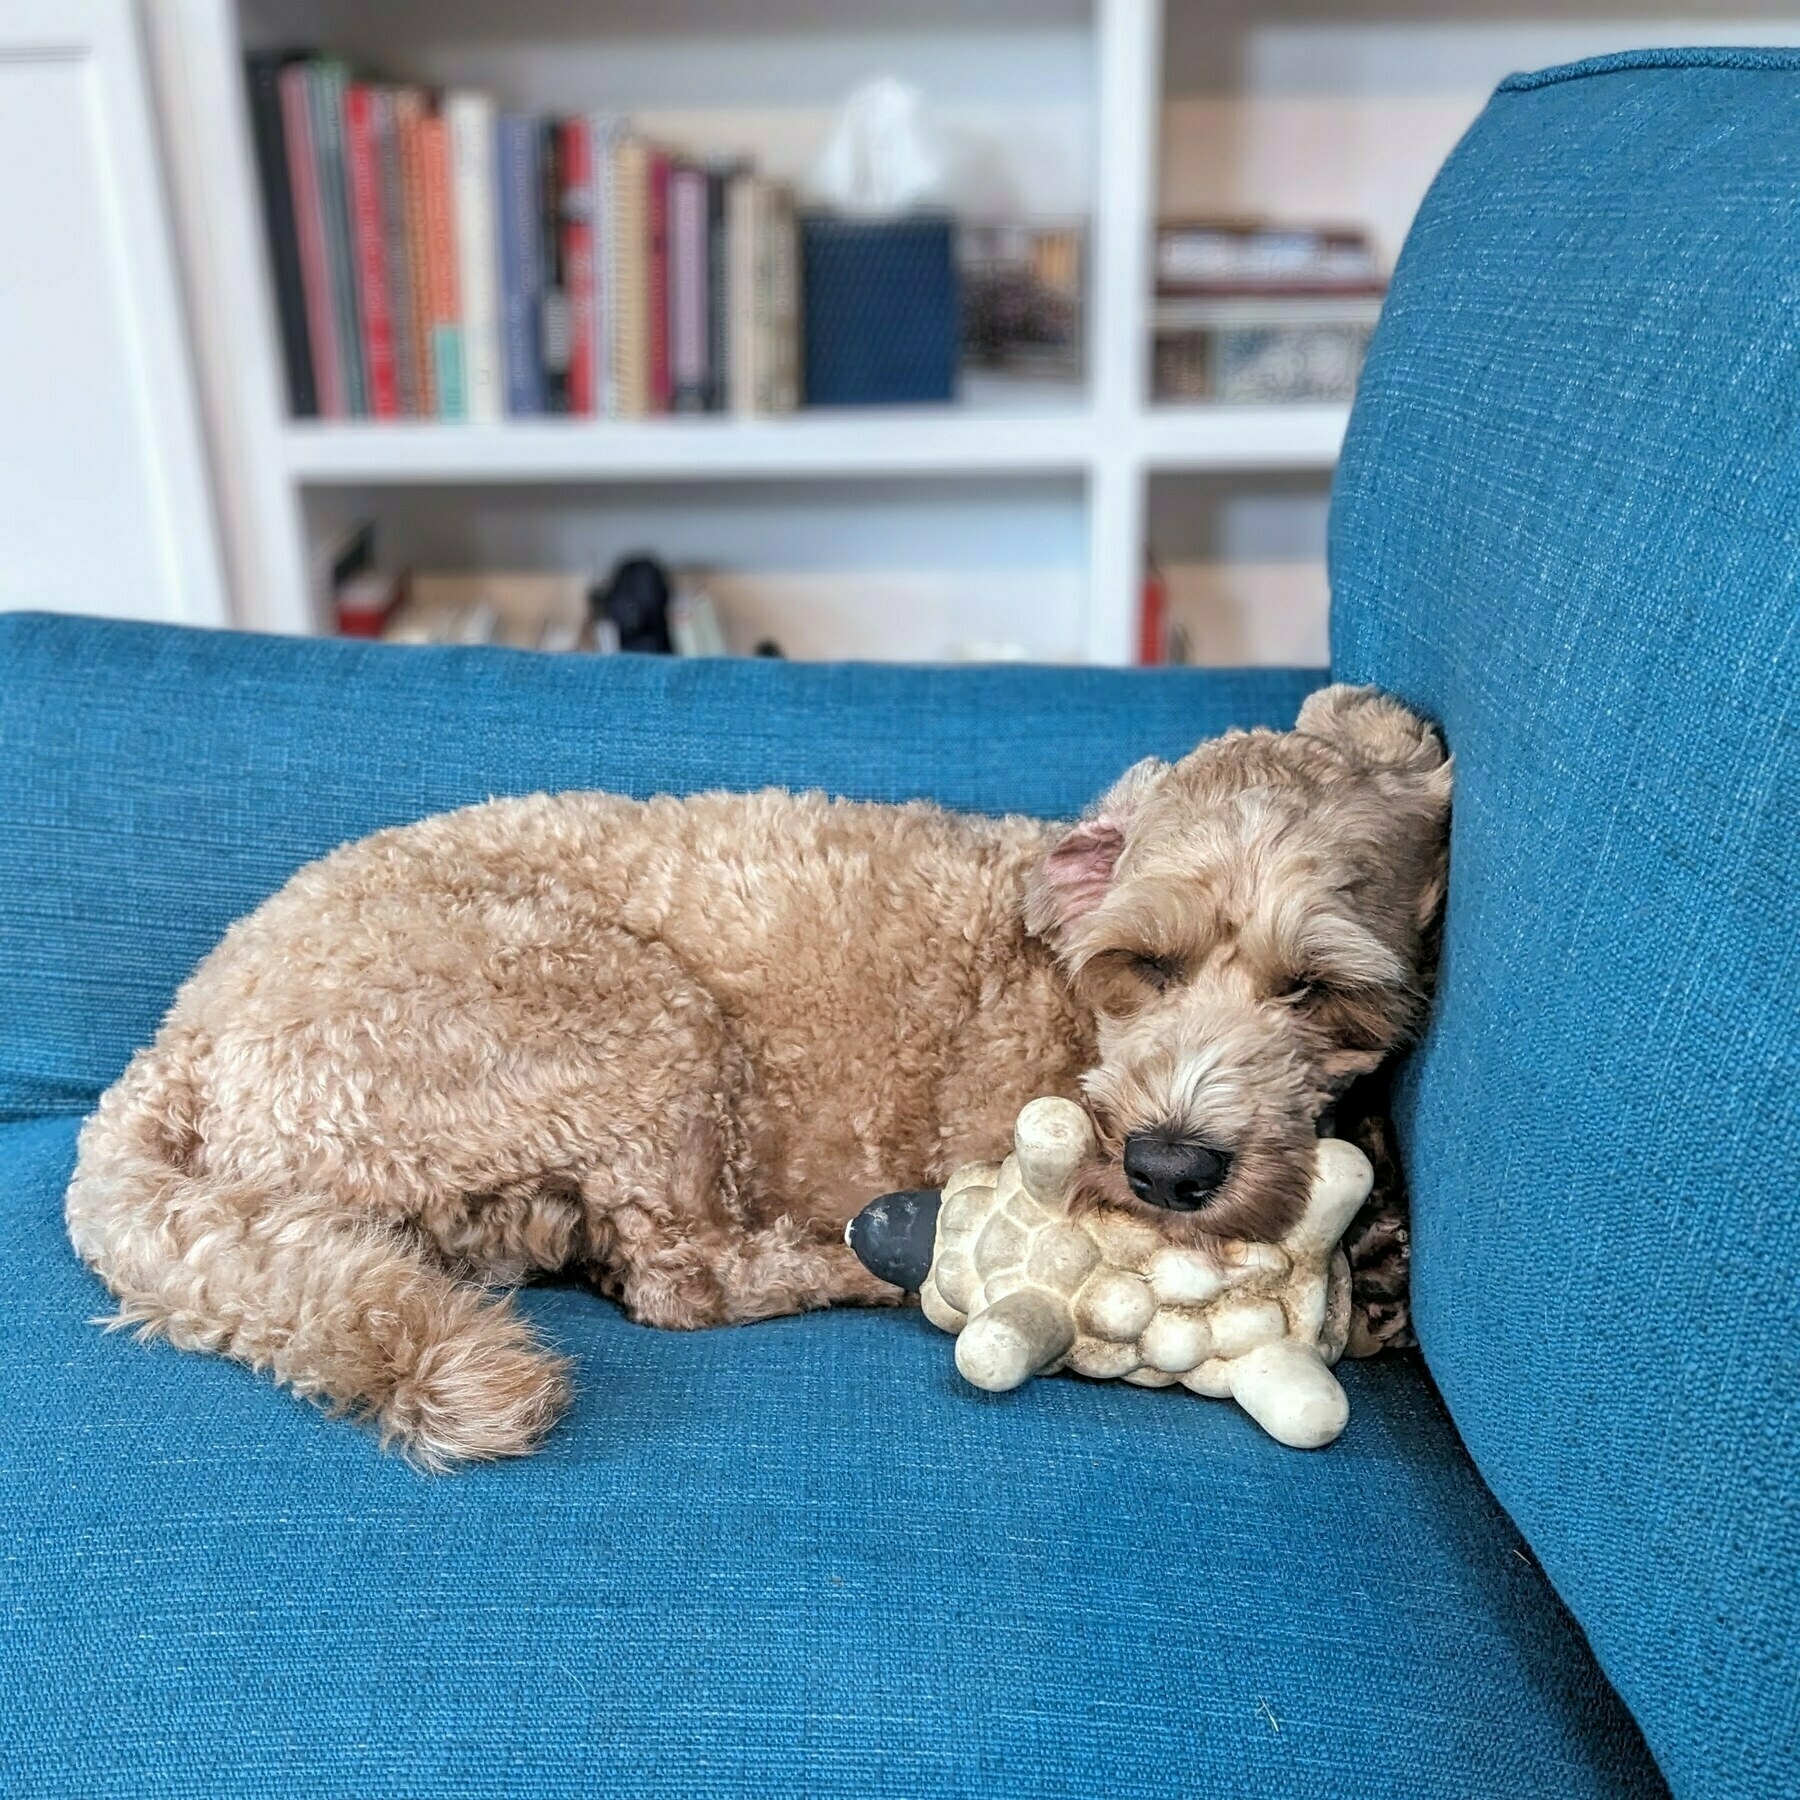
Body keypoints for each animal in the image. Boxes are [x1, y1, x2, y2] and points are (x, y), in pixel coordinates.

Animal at [66, 684, 1447, 1461]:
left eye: (1317, 993)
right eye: (1145, 964)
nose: (1168, 1166)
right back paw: (869, 1260)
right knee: (683, 1279)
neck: (1064, 991)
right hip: (627, 1016)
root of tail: (179, 1044)